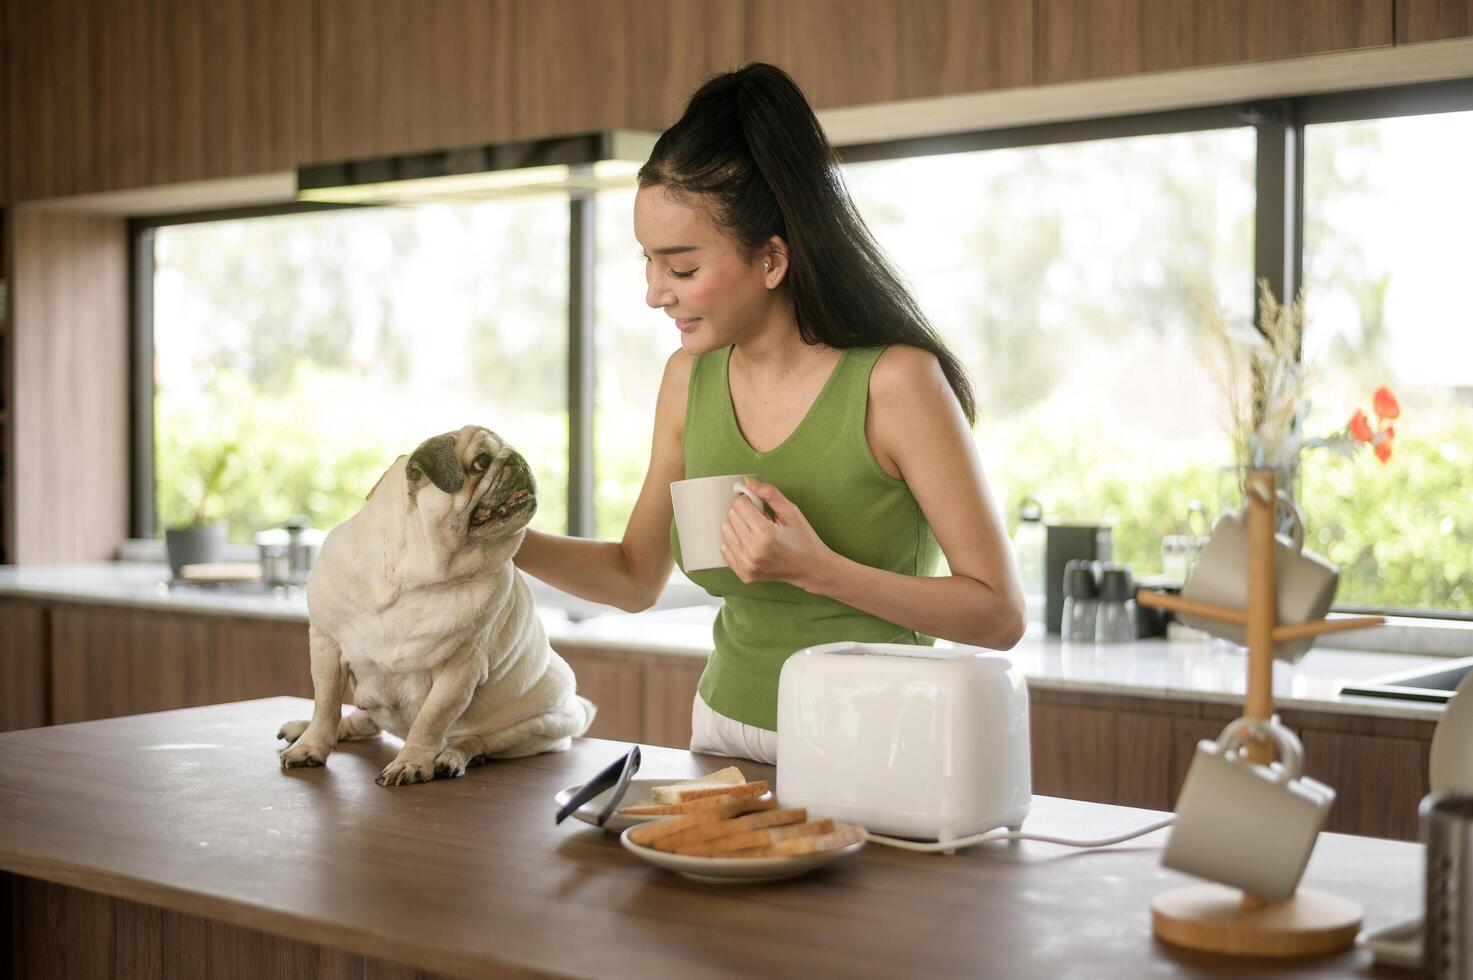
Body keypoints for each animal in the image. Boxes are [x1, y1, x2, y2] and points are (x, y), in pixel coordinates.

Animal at [273, 424, 595, 784]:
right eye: (481, 462)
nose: (518, 461)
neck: (416, 574)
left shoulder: (460, 670)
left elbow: (431, 719)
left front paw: (412, 761)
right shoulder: (327, 644)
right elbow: (325, 704)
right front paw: (311, 745)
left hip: (539, 724)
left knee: (478, 740)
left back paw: (453, 756)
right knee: (361, 721)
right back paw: (303, 729)